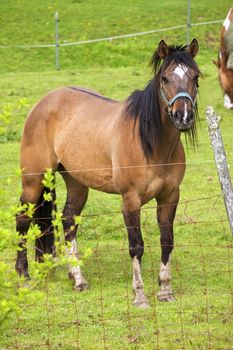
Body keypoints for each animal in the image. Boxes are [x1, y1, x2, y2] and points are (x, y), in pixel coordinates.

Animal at [15, 37, 199, 306]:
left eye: (195, 77)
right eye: (165, 78)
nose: (183, 117)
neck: (151, 143)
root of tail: (44, 102)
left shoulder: (170, 197)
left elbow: (167, 241)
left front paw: (165, 290)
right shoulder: (130, 200)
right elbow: (136, 246)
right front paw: (140, 295)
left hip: (76, 182)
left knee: (69, 220)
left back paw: (77, 278)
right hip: (34, 180)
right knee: (23, 220)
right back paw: (24, 276)